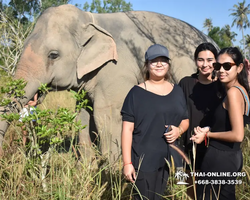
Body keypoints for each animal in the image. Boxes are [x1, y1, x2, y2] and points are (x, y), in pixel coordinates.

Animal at [0, 4, 219, 159]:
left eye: (53, 55)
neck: (90, 19)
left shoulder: (116, 70)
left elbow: (107, 114)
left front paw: (113, 173)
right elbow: (83, 114)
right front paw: (88, 168)